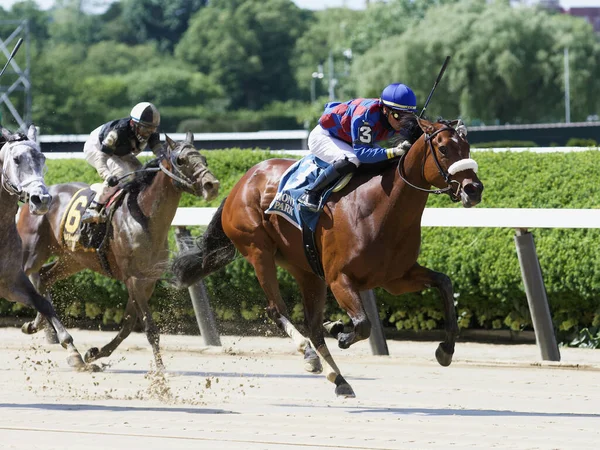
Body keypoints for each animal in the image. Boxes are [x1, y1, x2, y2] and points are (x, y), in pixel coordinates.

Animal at [0, 124, 87, 370]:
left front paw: (73, 351)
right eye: (16, 159)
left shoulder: (10, 281)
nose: (42, 199)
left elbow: (43, 304)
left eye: (42, 157)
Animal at [17, 132, 220, 370]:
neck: (144, 217)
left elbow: (128, 326)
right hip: (31, 252)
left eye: (204, 159)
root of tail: (34, 197)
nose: (212, 185)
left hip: (73, 259)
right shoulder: (134, 279)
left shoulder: (147, 281)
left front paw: (94, 353)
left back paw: (42, 329)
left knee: (44, 278)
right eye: (181, 160)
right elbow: (150, 328)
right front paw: (161, 369)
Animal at [171, 117, 480, 398]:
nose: (474, 189)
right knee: (276, 309)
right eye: (443, 149)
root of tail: (241, 183)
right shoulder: (339, 278)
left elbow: (444, 283)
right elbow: (363, 324)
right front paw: (342, 332)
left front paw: (445, 349)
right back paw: (309, 355)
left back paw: (339, 378)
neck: (380, 208)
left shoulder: (396, 278)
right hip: (259, 251)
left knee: (313, 325)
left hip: (305, 269)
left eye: (466, 146)